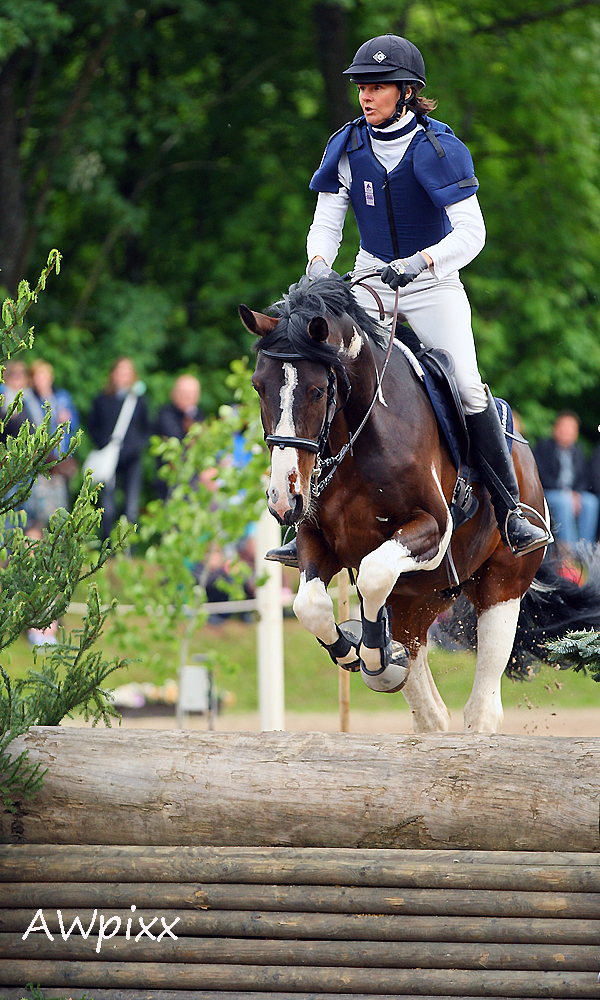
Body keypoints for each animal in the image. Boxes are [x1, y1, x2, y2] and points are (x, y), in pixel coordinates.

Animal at [238, 274, 552, 736]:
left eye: (317, 390)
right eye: (259, 386)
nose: (283, 500)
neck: (357, 437)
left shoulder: (431, 528)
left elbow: (372, 573)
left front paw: (372, 652)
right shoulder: (317, 538)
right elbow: (309, 605)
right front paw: (350, 650)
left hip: (502, 586)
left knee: (481, 707)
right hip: (420, 600)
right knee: (431, 713)